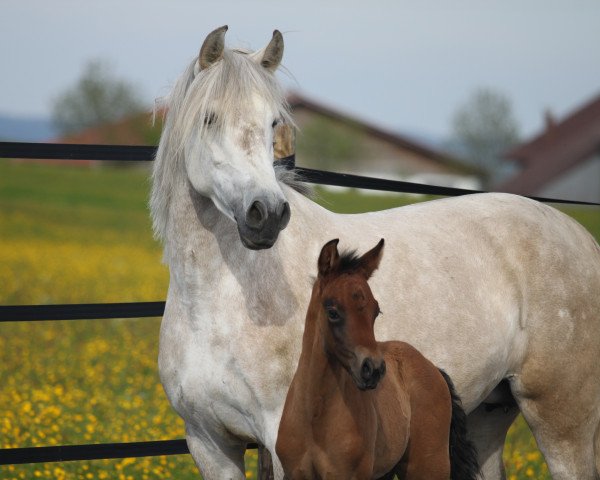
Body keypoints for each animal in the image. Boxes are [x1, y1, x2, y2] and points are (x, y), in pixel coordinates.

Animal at [278, 240, 480, 480]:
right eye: (332, 311)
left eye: (376, 311)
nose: (373, 369)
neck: (314, 415)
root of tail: (432, 367)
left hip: (428, 467)